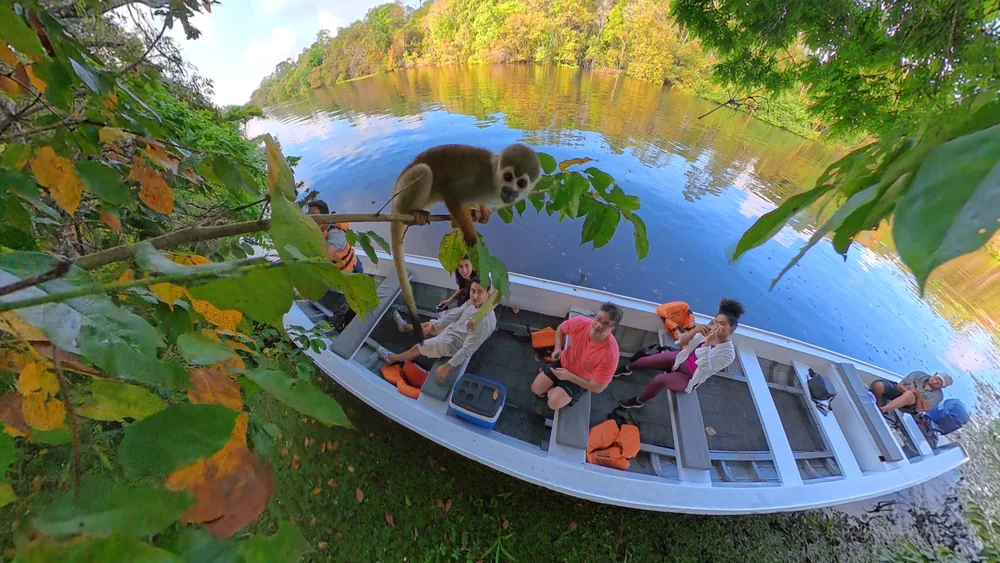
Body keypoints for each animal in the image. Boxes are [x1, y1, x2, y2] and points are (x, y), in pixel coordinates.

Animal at [389, 143, 542, 343]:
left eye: (521, 183)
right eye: (508, 177)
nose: (510, 191)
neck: (494, 181)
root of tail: (393, 204)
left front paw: (482, 211)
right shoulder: (480, 180)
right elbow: (452, 194)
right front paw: (470, 233)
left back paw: (456, 221)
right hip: (402, 192)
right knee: (424, 171)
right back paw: (413, 213)